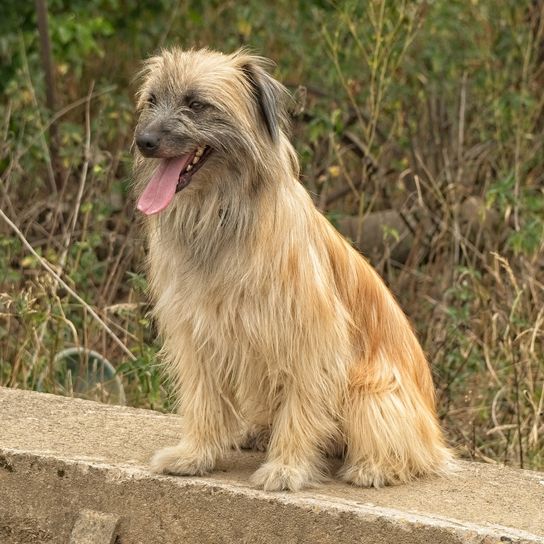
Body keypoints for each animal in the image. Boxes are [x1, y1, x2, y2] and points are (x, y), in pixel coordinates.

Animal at [132, 47, 450, 492]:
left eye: (196, 104)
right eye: (152, 100)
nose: (144, 141)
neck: (222, 215)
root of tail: (434, 432)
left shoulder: (309, 335)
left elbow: (302, 405)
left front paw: (287, 467)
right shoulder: (197, 332)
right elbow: (204, 398)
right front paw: (195, 455)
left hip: (370, 392)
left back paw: (375, 466)